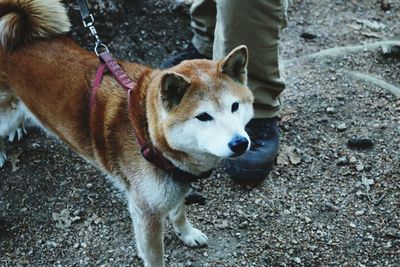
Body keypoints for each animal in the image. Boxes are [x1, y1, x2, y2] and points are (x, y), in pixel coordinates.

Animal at [0, 1, 253, 266]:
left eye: (235, 106)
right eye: (203, 116)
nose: (240, 143)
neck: (149, 134)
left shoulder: (175, 189)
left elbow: (179, 212)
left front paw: (187, 233)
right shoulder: (147, 211)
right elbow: (154, 255)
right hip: (4, 115)